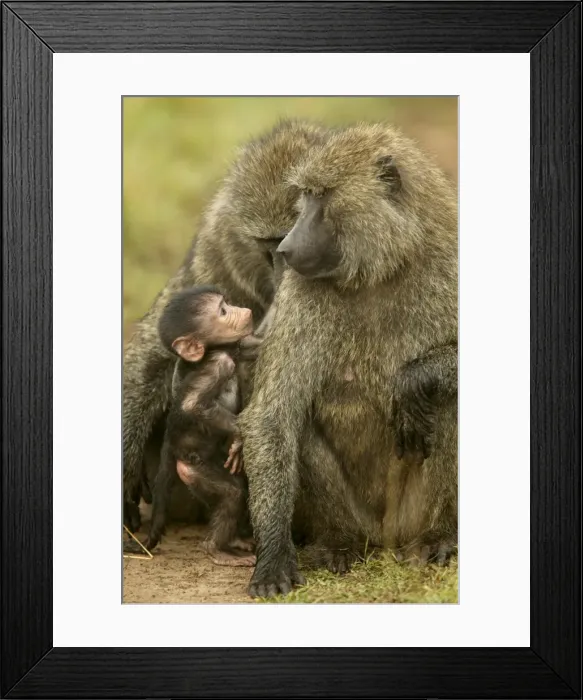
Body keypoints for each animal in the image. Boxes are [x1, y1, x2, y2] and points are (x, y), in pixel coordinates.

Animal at [128, 285, 268, 565]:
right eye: (223, 311)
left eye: (227, 303)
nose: (242, 310)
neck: (212, 351)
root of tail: (172, 450)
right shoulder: (217, 365)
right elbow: (193, 405)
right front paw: (239, 435)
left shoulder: (234, 347)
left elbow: (250, 345)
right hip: (193, 470)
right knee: (231, 493)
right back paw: (217, 549)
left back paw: (234, 540)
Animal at [239, 122, 458, 597]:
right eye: (304, 195)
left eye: (322, 196)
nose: (286, 248)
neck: (382, 268)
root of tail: (388, 539)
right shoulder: (300, 293)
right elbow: (272, 416)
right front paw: (273, 559)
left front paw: (415, 379)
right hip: (362, 519)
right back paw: (339, 542)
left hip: (410, 513)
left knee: (448, 401)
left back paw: (438, 537)